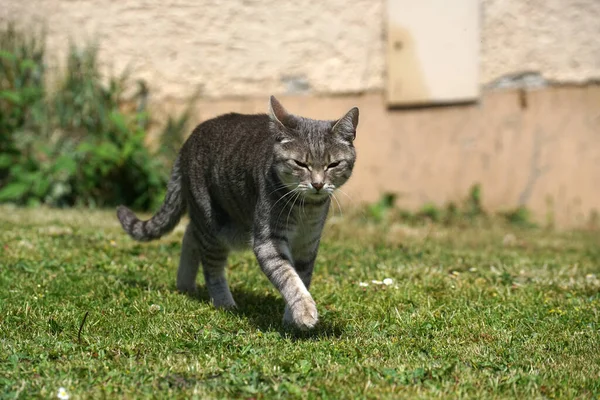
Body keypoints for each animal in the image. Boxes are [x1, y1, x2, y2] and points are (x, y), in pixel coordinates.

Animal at [118, 95, 360, 330]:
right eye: (300, 163)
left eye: (333, 164)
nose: (317, 184)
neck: (306, 209)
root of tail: (188, 141)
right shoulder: (267, 241)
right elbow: (289, 278)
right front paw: (305, 313)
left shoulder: (308, 244)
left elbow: (302, 277)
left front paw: (291, 320)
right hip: (214, 226)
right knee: (211, 267)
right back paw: (224, 303)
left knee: (189, 235)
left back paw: (185, 286)